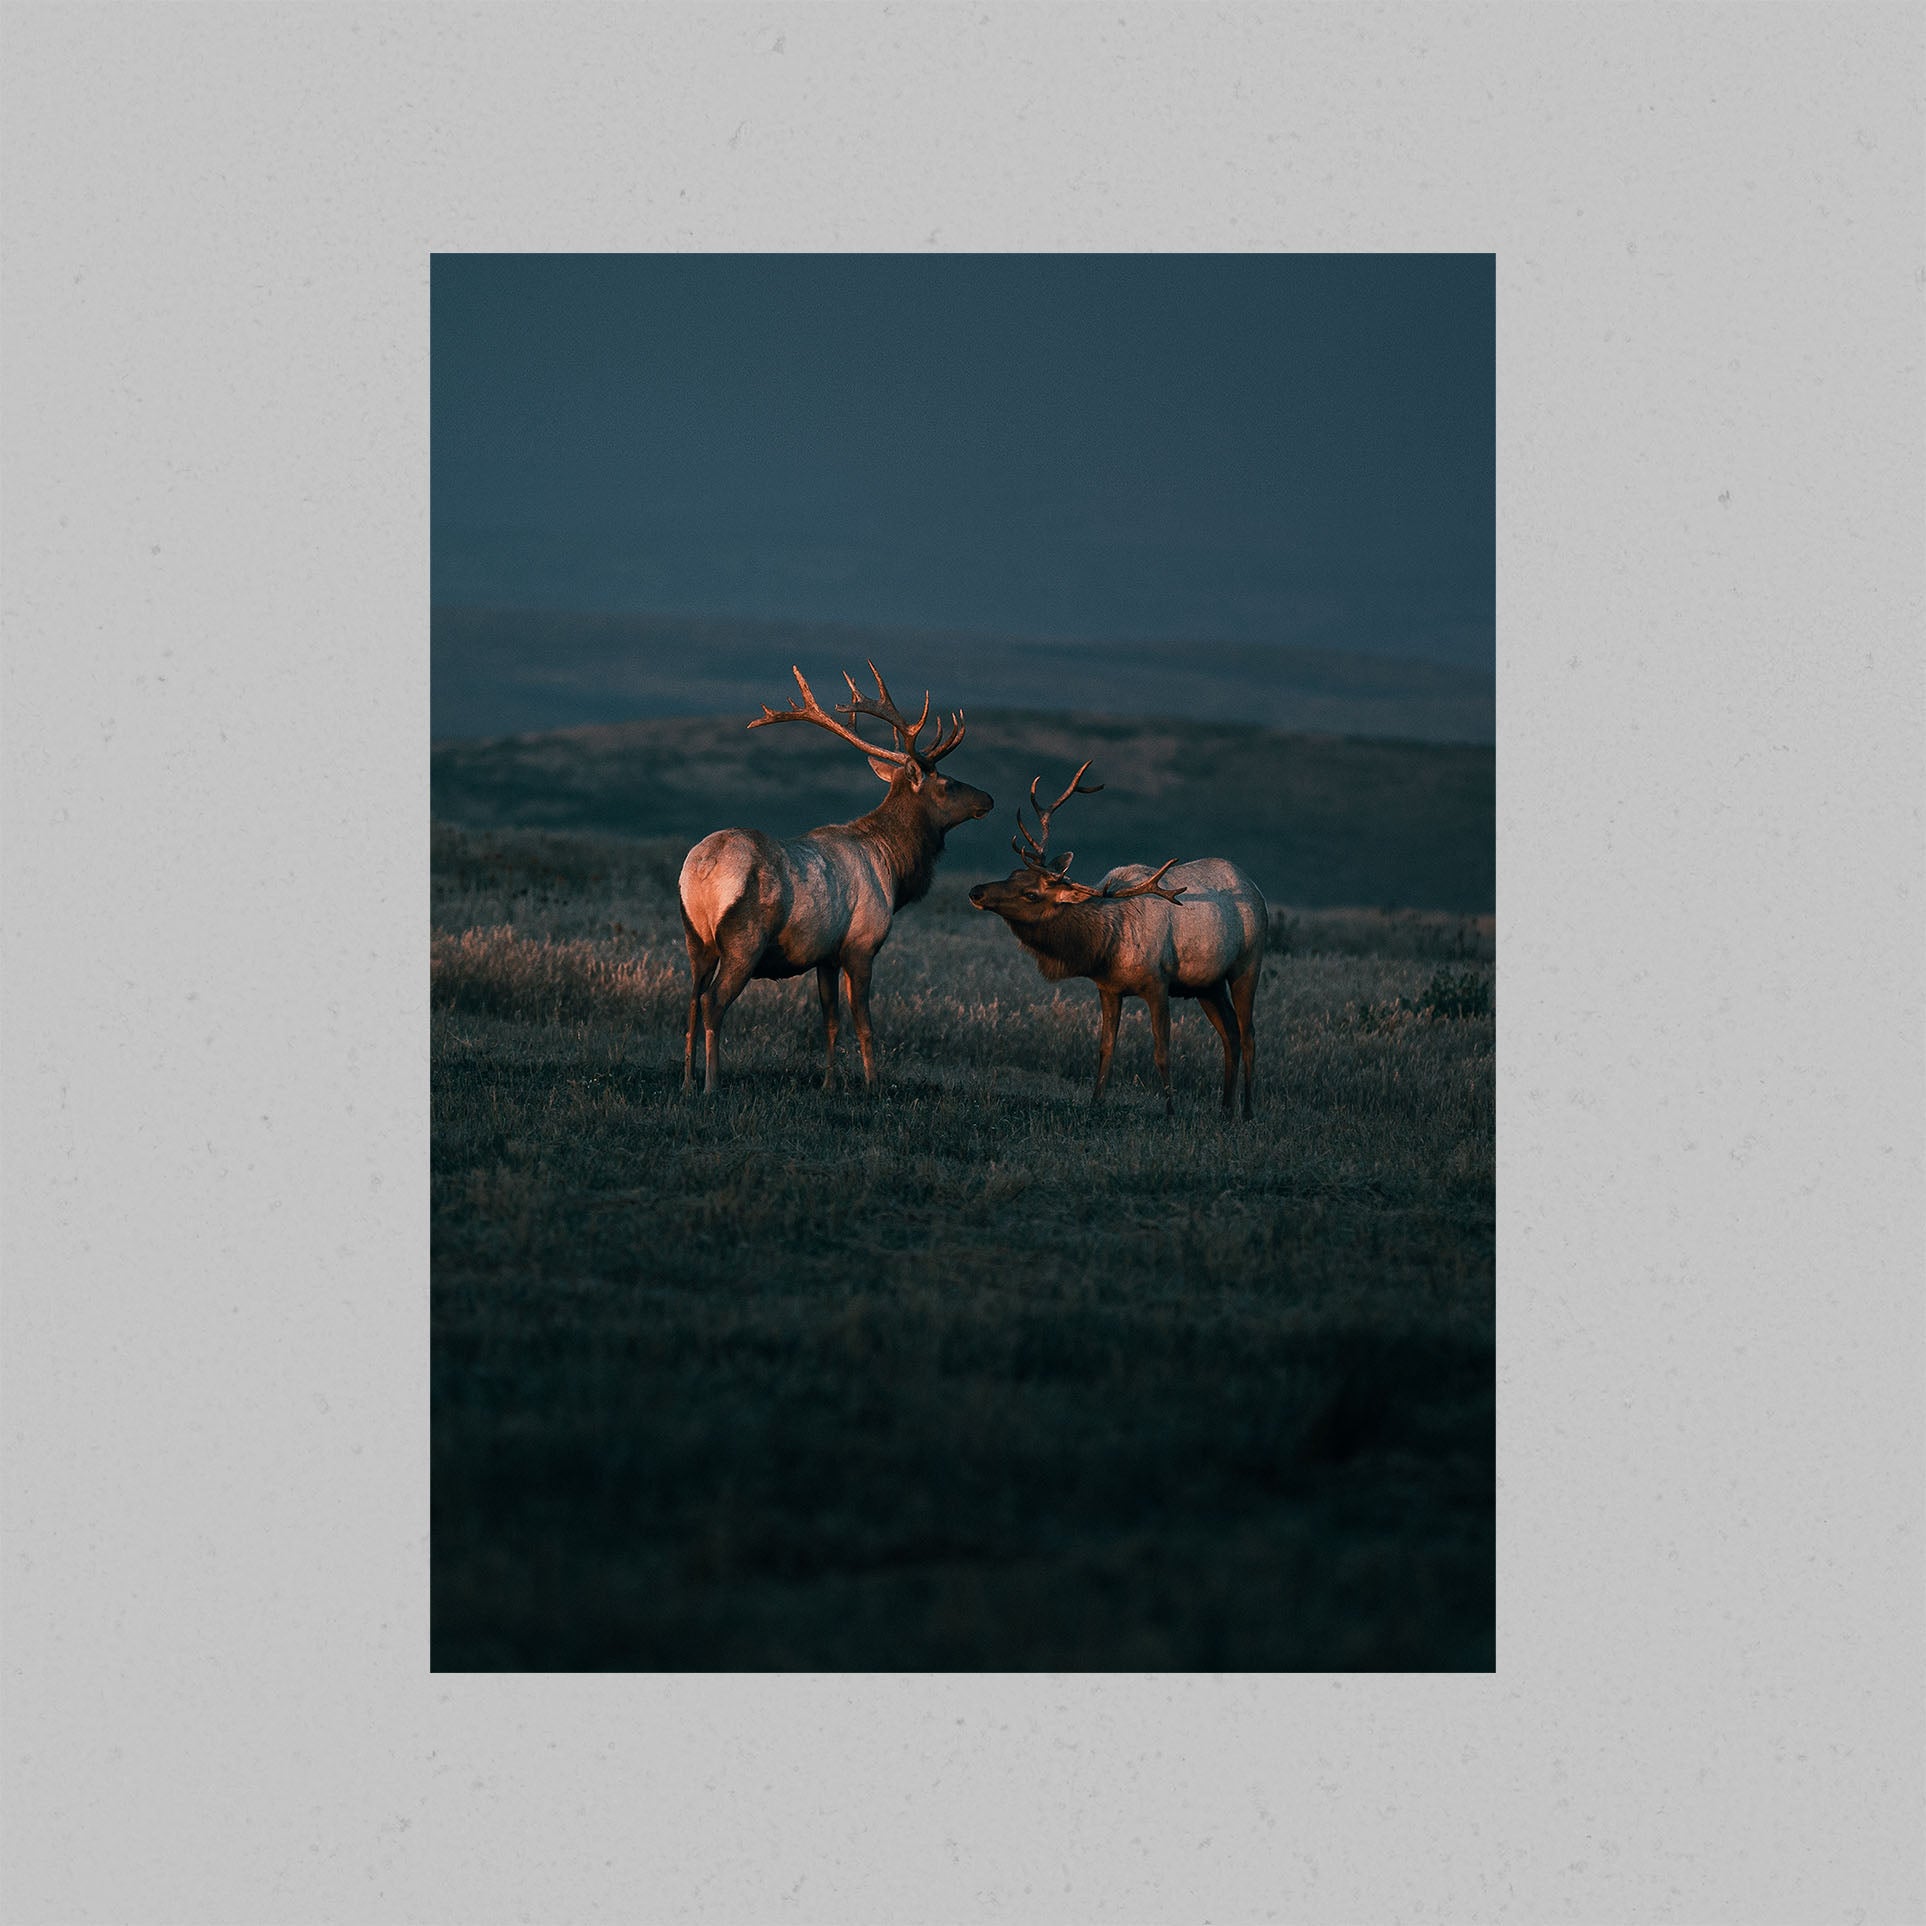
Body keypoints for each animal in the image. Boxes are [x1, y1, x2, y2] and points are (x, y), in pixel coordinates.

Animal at [678, 662, 994, 1094]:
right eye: (947, 784)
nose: (988, 799)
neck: (893, 869)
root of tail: (701, 870)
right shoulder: (861, 945)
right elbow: (864, 1024)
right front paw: (873, 1084)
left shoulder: (824, 955)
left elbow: (830, 1020)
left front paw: (828, 1083)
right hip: (744, 941)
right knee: (712, 1002)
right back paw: (712, 1084)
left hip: (696, 939)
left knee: (691, 1000)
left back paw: (687, 1082)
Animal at [968, 763, 1267, 1117]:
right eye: (1014, 873)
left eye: (1031, 894)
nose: (976, 892)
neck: (1105, 946)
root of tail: (1254, 887)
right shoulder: (1108, 987)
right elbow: (1105, 1047)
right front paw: (1096, 1101)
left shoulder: (1158, 982)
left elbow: (1162, 1050)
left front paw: (1170, 1110)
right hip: (1207, 984)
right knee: (1230, 1034)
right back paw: (1225, 1109)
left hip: (1247, 965)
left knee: (1248, 1035)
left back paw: (1246, 1111)